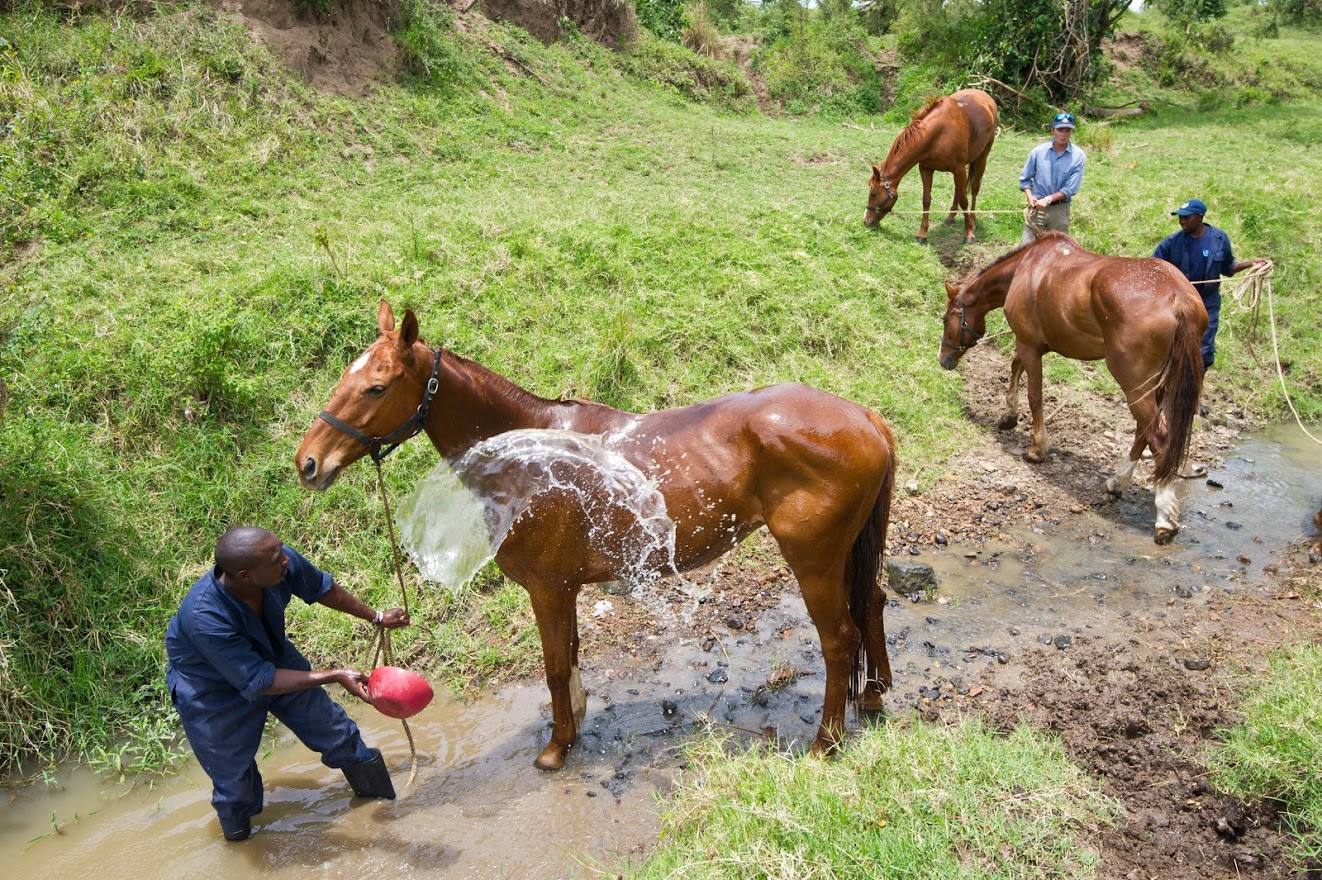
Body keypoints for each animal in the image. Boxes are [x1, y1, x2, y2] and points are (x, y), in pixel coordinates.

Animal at [297, 302, 898, 771]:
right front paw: (575, 725)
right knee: (872, 603)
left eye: (376, 387)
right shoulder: (565, 589)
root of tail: (864, 416)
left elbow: (556, 666)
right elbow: (572, 656)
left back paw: (825, 743)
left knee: (839, 639)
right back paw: (873, 697)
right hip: (851, 553)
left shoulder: (547, 589)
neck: (528, 454)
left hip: (814, 560)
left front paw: (556, 747)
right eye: (345, 378)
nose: (308, 463)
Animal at [864, 89, 998, 244]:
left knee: (974, 189)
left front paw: (969, 233)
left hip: (982, 157)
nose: (866, 221)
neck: (939, 134)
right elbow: (926, 200)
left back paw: (973, 220)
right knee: (959, 190)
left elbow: (964, 200)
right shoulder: (926, 169)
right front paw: (922, 234)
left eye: (873, 193)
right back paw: (950, 217)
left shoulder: (958, 169)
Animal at [937, 232, 1206, 544]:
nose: (943, 359)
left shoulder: (1030, 345)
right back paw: (1117, 482)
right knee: (1144, 431)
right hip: (1155, 386)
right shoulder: (1031, 345)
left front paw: (1037, 448)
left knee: (1159, 438)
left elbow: (1034, 395)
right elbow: (1015, 368)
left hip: (1135, 385)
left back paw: (1164, 516)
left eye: (945, 319)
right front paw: (1008, 415)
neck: (1027, 267)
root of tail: (1178, 297)